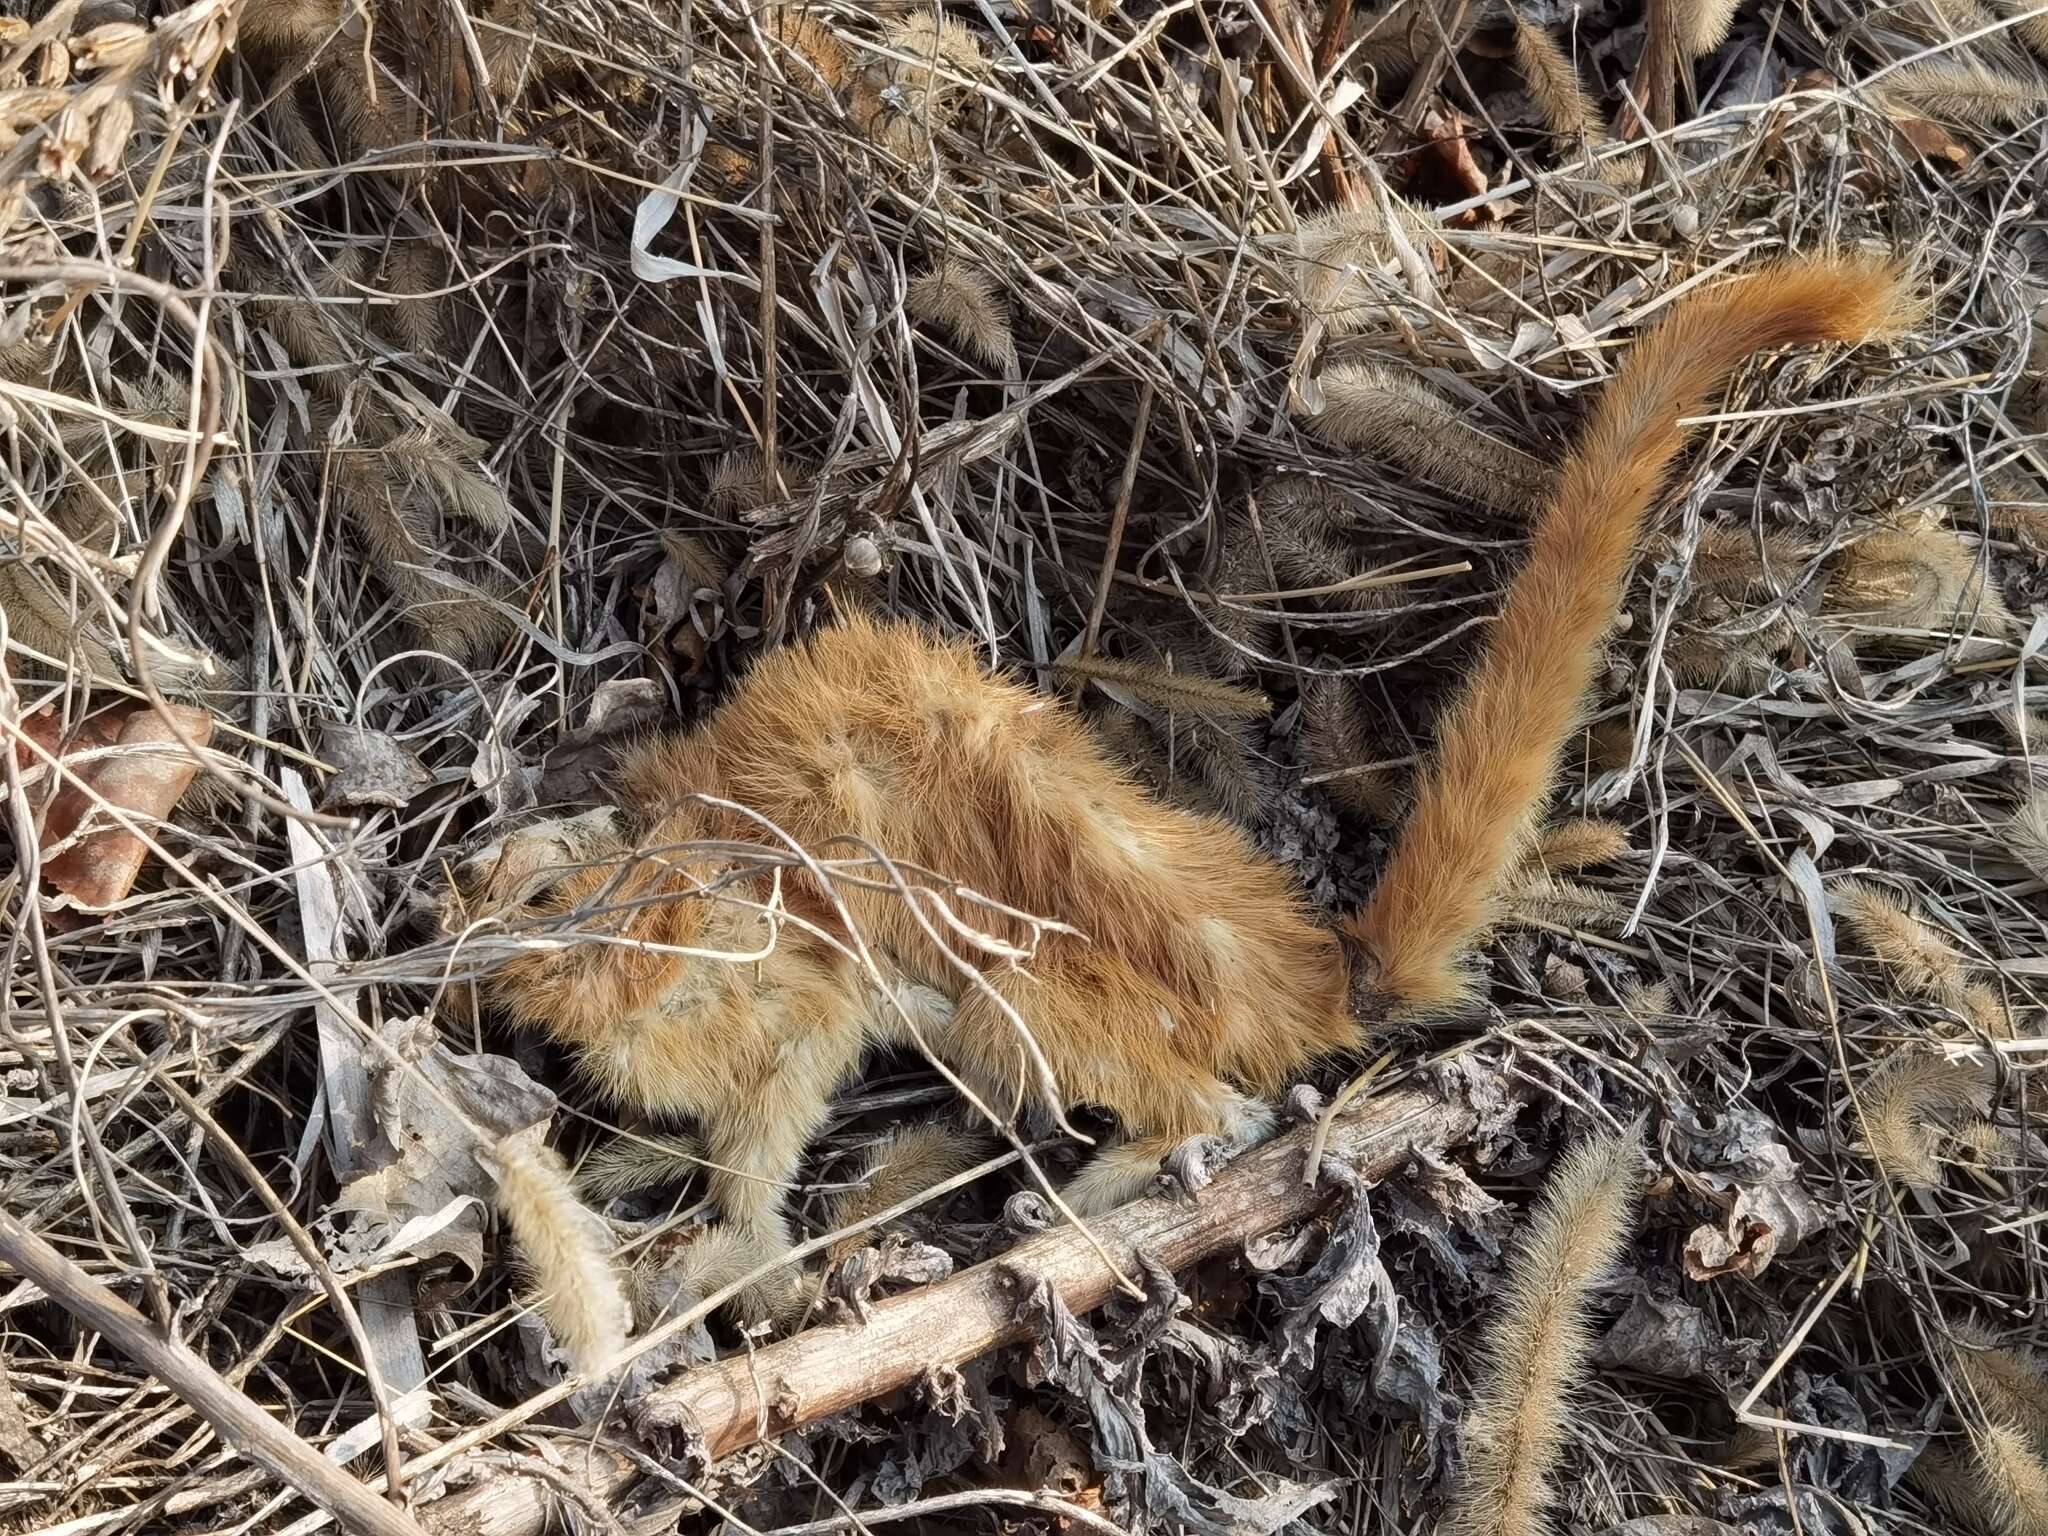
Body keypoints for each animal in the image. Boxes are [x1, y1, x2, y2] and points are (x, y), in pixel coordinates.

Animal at [440, 259, 1908, 1318]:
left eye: (554, 896)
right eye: (493, 877)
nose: (449, 927)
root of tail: (1306, 970)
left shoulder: (806, 994)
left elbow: (758, 1145)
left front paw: (717, 1249)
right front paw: (616, 1161)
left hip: (1026, 999)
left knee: (1221, 1105)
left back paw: (1097, 1186)